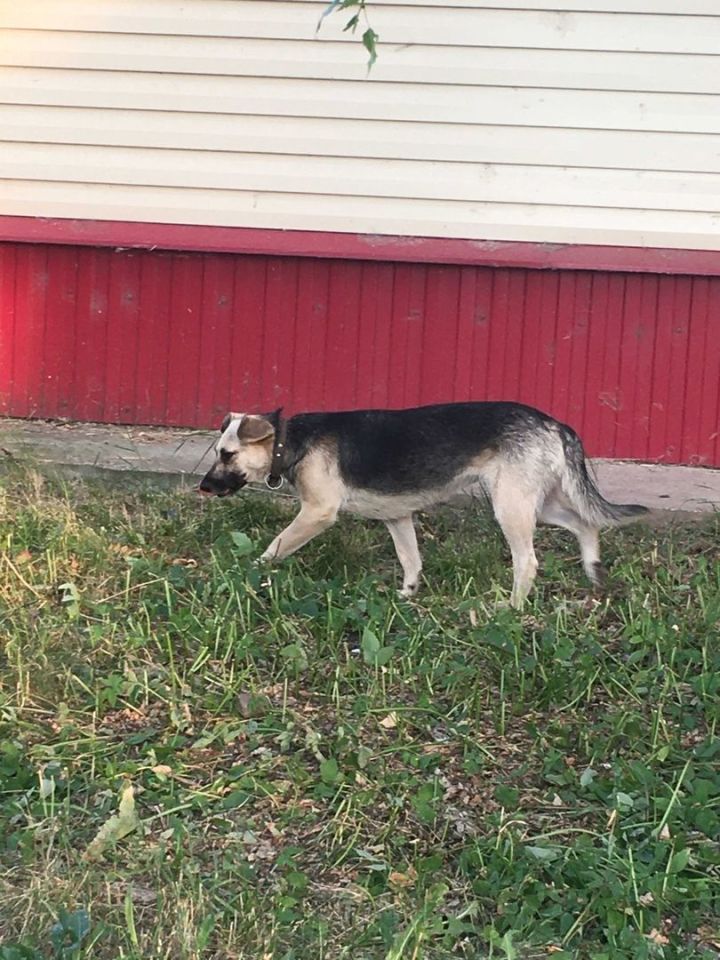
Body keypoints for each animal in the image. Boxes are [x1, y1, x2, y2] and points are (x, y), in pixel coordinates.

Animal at [200, 404, 648, 608]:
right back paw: (593, 570)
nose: (203, 487)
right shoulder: (398, 517)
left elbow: (276, 545)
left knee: (529, 561)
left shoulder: (317, 513)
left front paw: (251, 570)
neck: (288, 440)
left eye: (226, 455)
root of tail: (554, 423)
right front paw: (408, 593)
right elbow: (410, 559)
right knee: (586, 523)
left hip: (511, 506)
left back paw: (512, 606)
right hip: (537, 503)